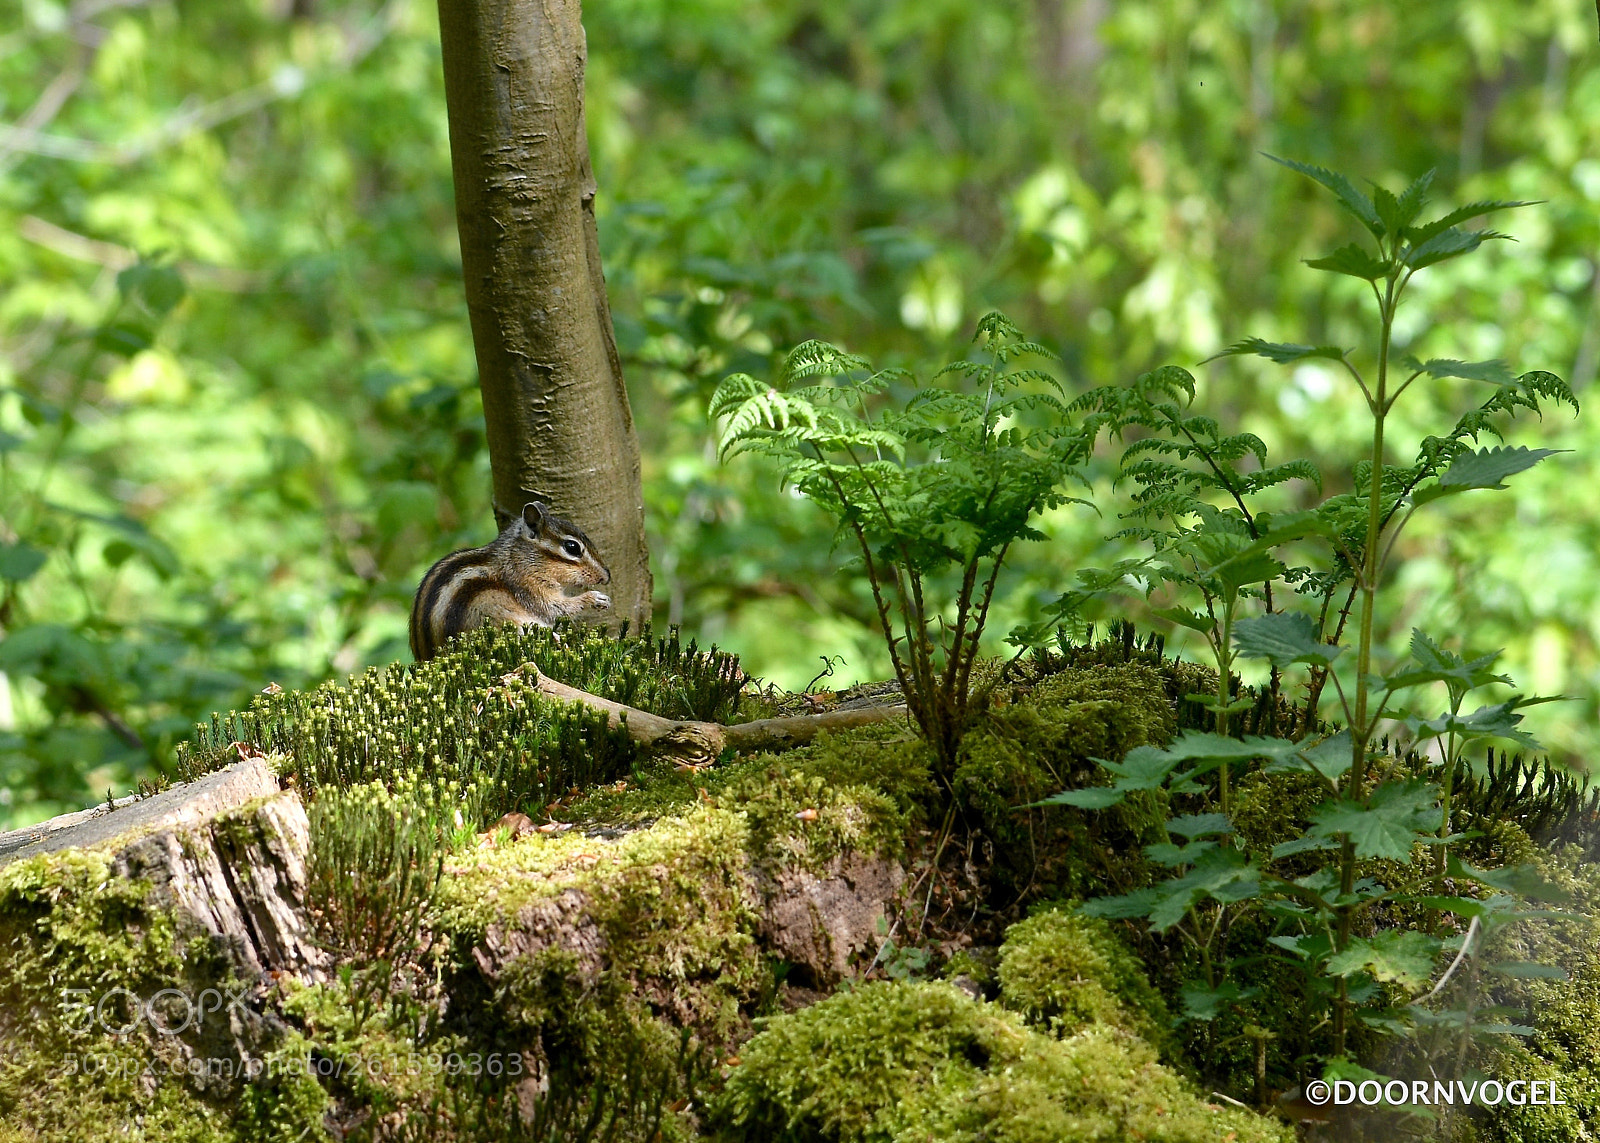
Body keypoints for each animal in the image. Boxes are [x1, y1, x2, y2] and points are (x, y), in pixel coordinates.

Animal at [408, 501, 611, 662]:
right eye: (572, 547)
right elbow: (556, 608)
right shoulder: (529, 588)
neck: (520, 558)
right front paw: (593, 598)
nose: (607, 576)